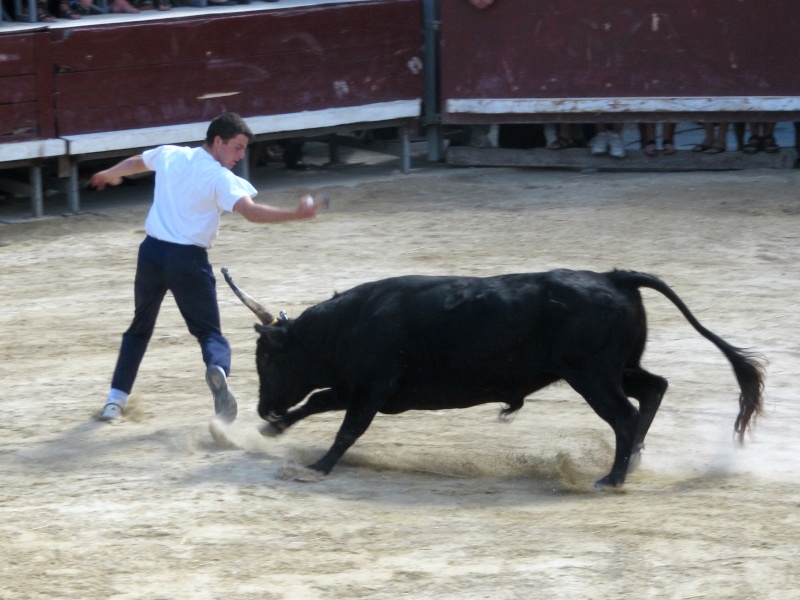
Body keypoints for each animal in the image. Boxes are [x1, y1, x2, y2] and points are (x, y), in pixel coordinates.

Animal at [222, 268, 764, 488]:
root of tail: (614, 277)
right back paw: (630, 464)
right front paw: (273, 430)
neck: (349, 323)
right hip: (612, 369)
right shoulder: (365, 388)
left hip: (591, 375)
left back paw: (612, 477)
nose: (263, 407)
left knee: (625, 415)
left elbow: (346, 426)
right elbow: (319, 403)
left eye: (268, 360)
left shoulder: (372, 389)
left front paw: (316, 466)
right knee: (653, 388)